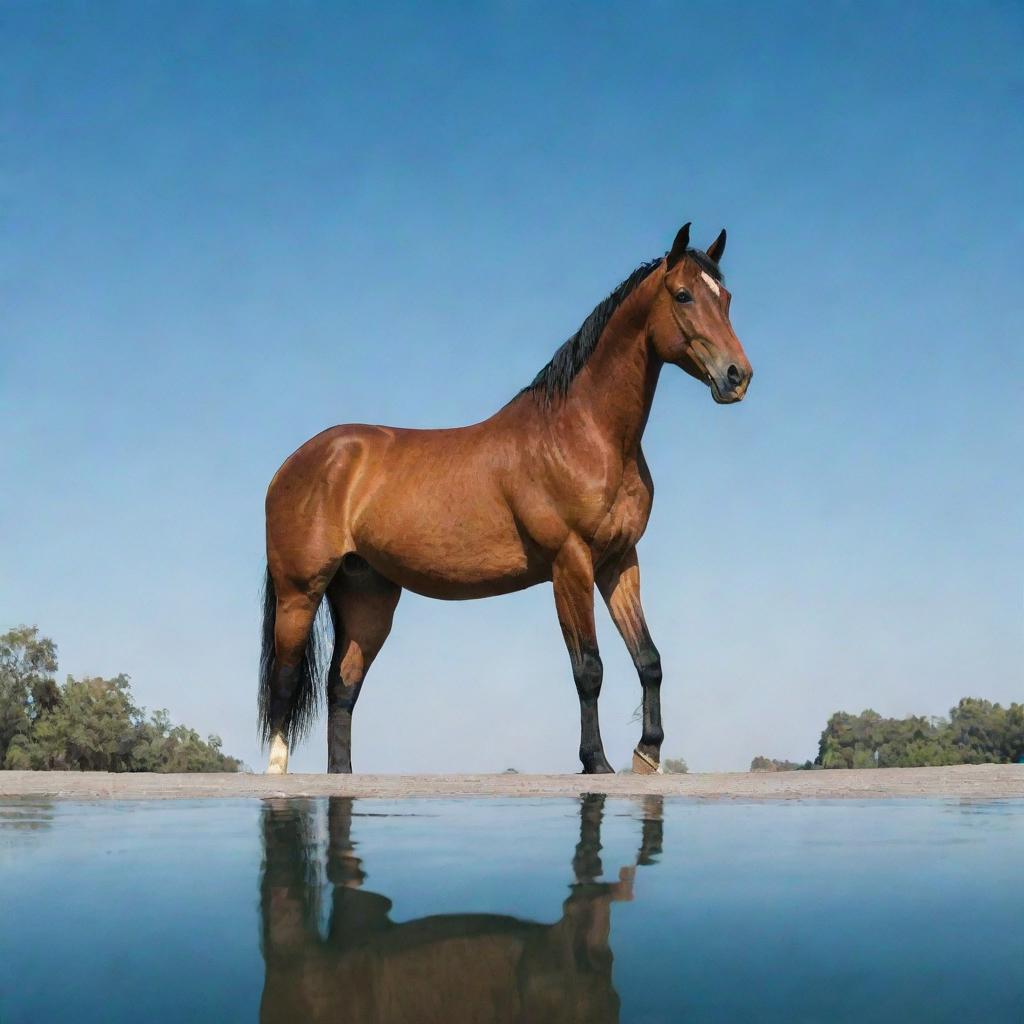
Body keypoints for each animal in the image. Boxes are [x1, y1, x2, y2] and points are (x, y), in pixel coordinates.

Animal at [258, 220, 753, 770]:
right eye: (683, 294)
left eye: (726, 297)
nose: (737, 376)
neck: (582, 433)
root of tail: (293, 464)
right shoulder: (570, 563)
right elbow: (589, 668)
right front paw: (595, 761)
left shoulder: (619, 560)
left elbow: (648, 658)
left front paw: (646, 753)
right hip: (299, 593)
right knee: (284, 683)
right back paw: (277, 771)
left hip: (367, 597)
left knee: (341, 688)